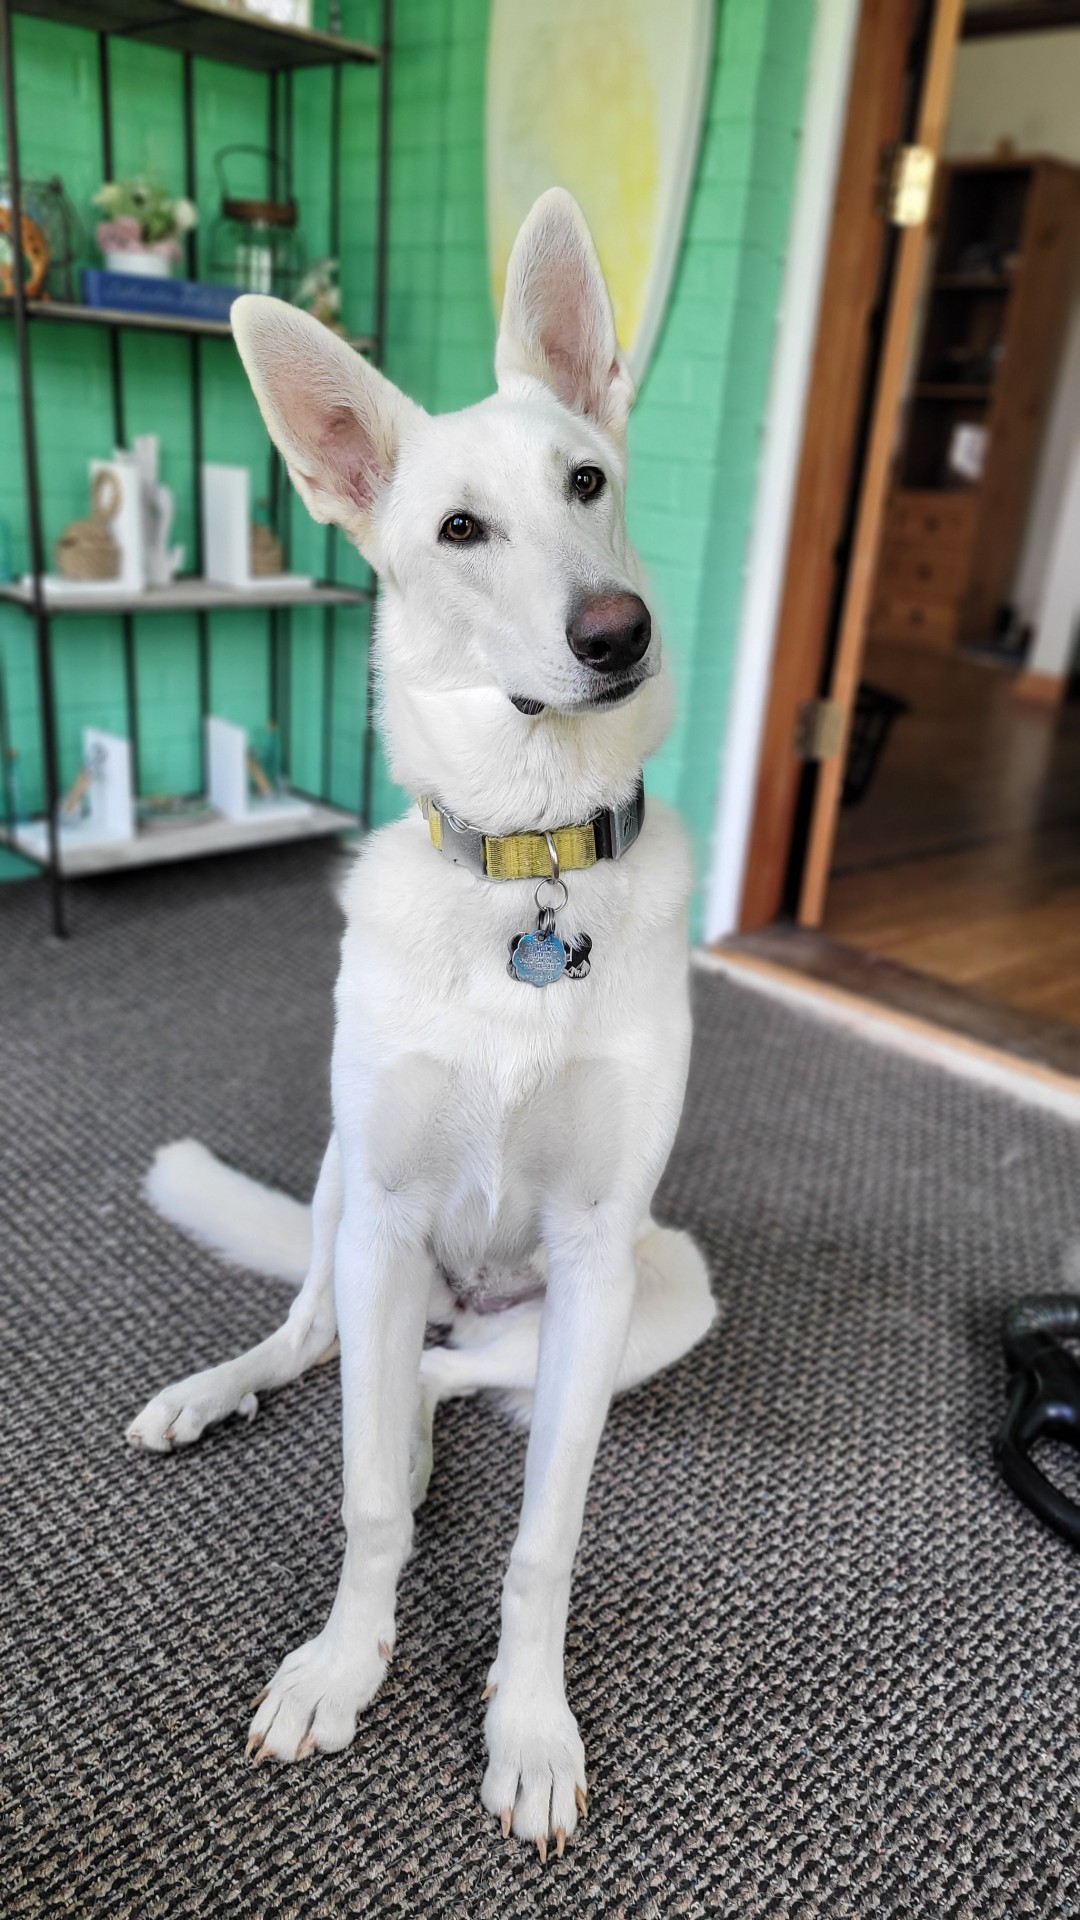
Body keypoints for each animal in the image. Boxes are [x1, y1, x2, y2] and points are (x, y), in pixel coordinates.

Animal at [125, 191, 714, 1858]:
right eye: (458, 532)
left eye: (589, 481)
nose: (619, 630)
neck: (528, 856)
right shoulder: (384, 1209)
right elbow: (366, 1500)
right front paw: (344, 1663)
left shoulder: (597, 1252)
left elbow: (542, 1536)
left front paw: (528, 1724)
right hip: (343, 1195)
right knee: (321, 1341)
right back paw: (216, 1392)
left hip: (662, 1291)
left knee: (450, 1377)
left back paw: (437, 1412)